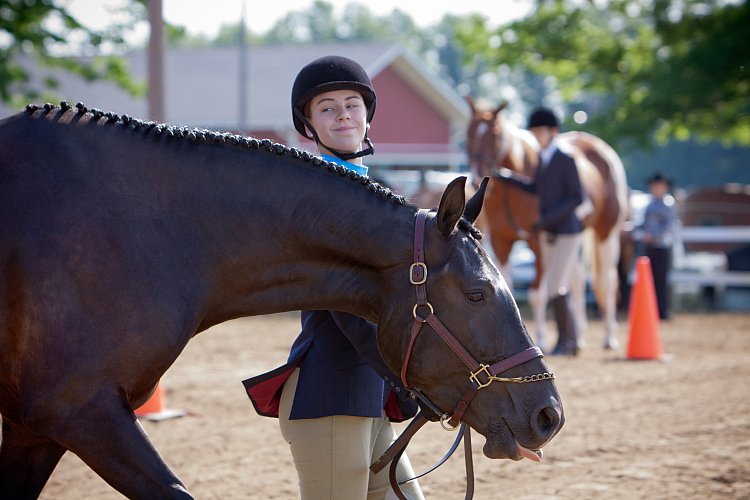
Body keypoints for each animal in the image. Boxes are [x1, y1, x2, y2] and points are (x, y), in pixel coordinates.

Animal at [468, 97, 632, 352]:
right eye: (469, 132)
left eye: (494, 134)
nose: (476, 177)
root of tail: (601, 149)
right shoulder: (501, 242)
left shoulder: (538, 242)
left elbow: (538, 293)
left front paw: (543, 339)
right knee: (575, 280)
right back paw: (578, 338)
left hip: (607, 233)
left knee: (608, 281)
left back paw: (609, 338)